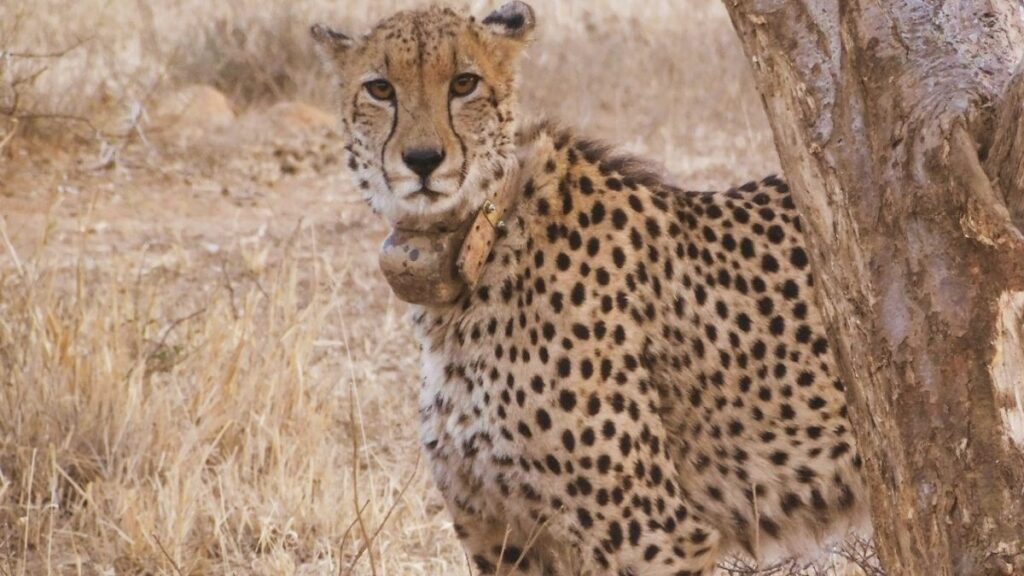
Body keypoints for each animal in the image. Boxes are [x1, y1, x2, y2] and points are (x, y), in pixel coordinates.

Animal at [312, 3, 868, 574]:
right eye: (380, 89)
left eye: (464, 83)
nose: (422, 160)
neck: (481, 239)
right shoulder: (501, 539)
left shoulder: (656, 538)